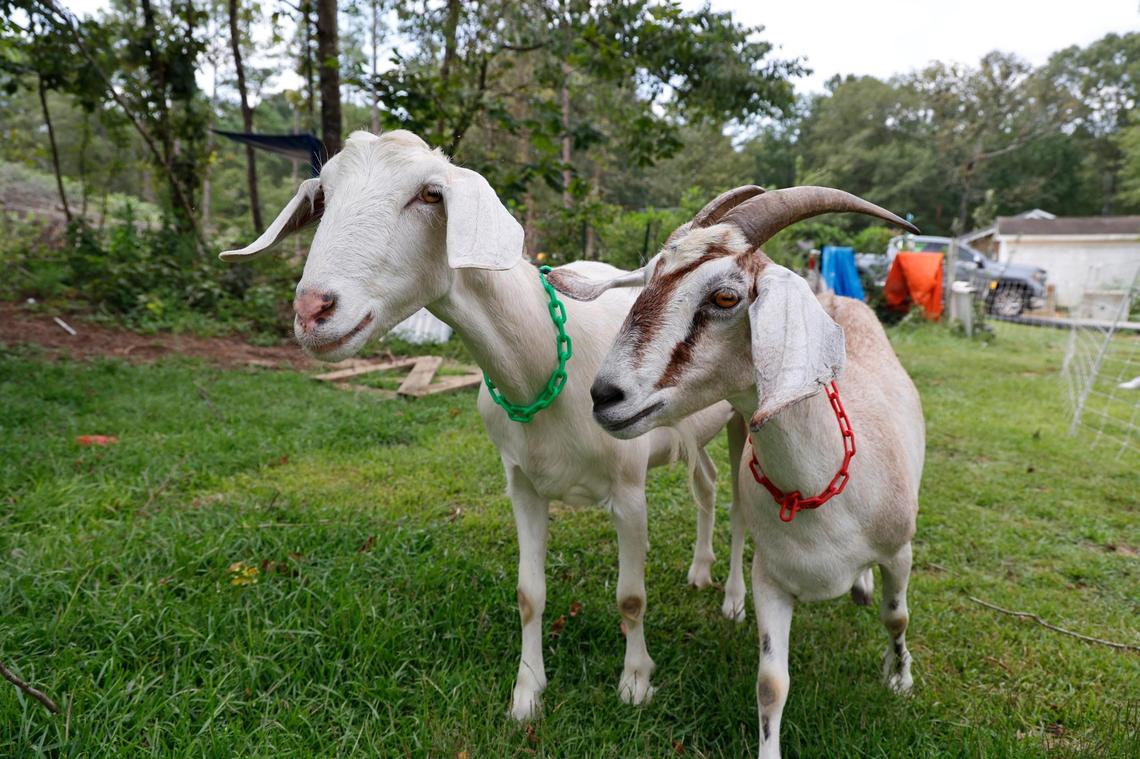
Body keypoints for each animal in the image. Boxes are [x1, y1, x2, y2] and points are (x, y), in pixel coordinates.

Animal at [219, 130, 750, 720]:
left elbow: (631, 598)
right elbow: (529, 595)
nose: (314, 311)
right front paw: (527, 694)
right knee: (706, 485)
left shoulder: (629, 488)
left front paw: (635, 682)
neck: (545, 363)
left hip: (743, 421)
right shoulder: (522, 482)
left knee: (738, 507)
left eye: (430, 194)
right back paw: (699, 572)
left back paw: (732, 600)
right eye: (324, 195)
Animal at [547, 186, 924, 758]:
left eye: (726, 297)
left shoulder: (899, 550)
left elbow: (896, 615)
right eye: (649, 277)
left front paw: (899, 677)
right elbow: (771, 685)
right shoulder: (773, 579)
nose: (605, 396)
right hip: (738, 431)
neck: (823, 490)